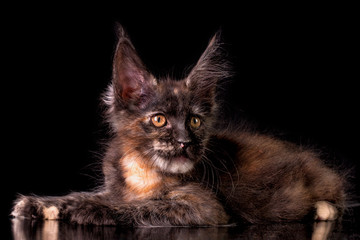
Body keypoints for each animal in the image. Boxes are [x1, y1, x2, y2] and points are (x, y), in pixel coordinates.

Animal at [11, 25, 346, 226]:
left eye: (195, 121)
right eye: (159, 119)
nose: (186, 142)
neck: (144, 170)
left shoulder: (205, 208)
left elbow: (145, 206)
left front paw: (91, 211)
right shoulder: (115, 189)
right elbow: (84, 194)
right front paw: (42, 204)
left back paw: (322, 209)